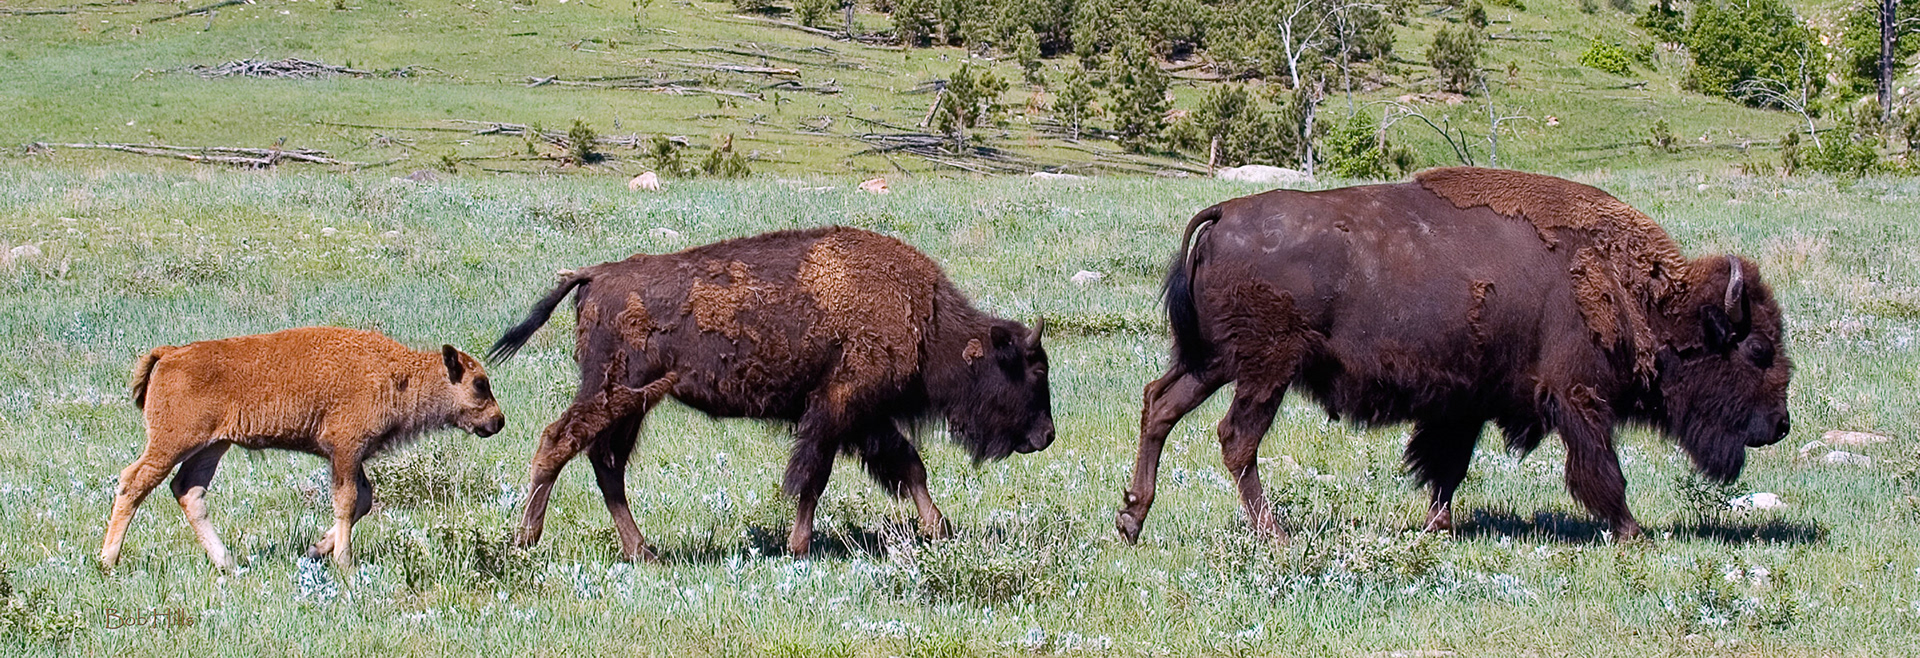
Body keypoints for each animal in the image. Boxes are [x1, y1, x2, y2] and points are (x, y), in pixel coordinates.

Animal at [490, 226, 1055, 559]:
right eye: (1031, 370)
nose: (1046, 435)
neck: (927, 319)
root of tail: (595, 275)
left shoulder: (865, 418)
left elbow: (908, 467)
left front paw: (940, 530)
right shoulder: (837, 409)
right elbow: (813, 478)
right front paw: (799, 547)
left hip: (632, 402)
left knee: (605, 462)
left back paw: (642, 551)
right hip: (615, 390)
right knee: (560, 441)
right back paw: (526, 541)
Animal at [1116, 167, 1792, 543]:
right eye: (1757, 349)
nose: (1781, 425)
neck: (1633, 291)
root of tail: (1223, 213)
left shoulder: (1463, 401)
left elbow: (1447, 466)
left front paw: (1437, 527)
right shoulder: (1578, 398)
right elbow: (1601, 471)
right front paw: (1634, 533)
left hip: (1214, 362)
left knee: (1160, 405)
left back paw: (1131, 521)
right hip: (1264, 369)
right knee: (1236, 437)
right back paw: (1274, 535)